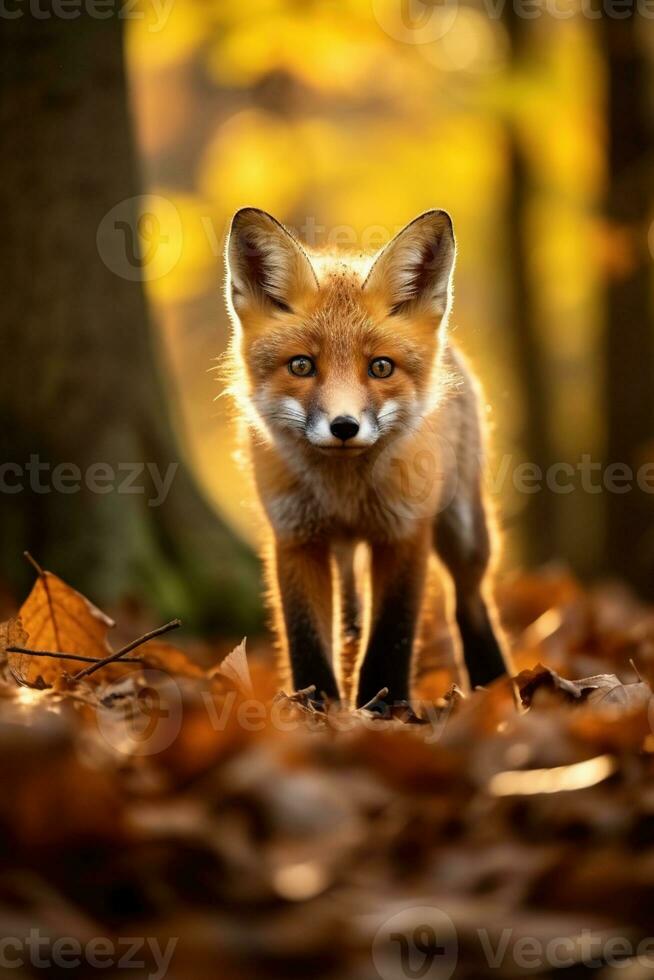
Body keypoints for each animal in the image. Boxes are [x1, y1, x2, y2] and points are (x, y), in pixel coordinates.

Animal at [226, 207, 512, 708]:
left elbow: (391, 637)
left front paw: (383, 707)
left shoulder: (404, 532)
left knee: (471, 599)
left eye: (380, 367)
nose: (344, 427)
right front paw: (316, 708)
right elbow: (305, 640)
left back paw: (494, 684)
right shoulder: (295, 536)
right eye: (301, 365)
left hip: (463, 530)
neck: (344, 491)